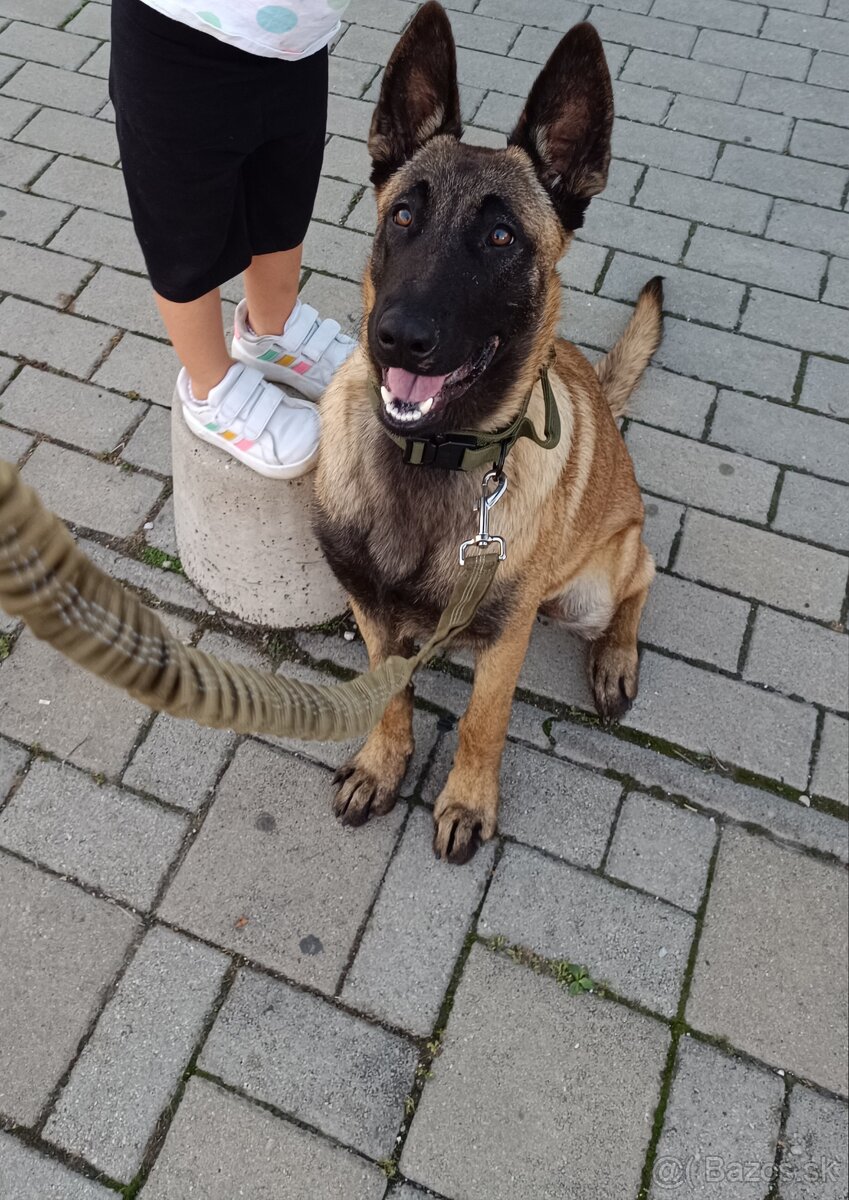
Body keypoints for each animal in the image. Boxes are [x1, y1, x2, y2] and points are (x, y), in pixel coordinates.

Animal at [314, 1, 662, 864]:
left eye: (501, 238)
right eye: (403, 216)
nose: (397, 339)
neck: (431, 457)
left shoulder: (505, 639)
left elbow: (482, 721)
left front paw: (467, 801)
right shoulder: (373, 614)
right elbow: (390, 697)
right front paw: (383, 762)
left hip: (590, 590)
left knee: (641, 578)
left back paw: (616, 655)